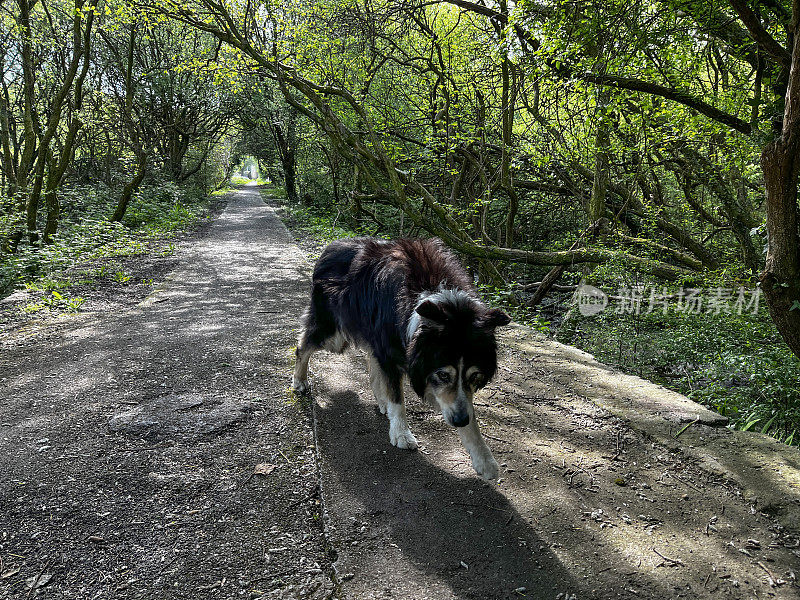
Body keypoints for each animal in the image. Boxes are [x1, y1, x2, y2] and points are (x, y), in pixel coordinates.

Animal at [290, 237, 510, 480]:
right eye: (443, 375)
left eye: (474, 377)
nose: (459, 421)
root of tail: (332, 246)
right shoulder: (394, 351)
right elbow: (398, 397)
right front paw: (401, 433)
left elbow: (466, 410)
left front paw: (484, 459)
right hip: (333, 331)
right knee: (303, 347)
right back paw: (299, 381)